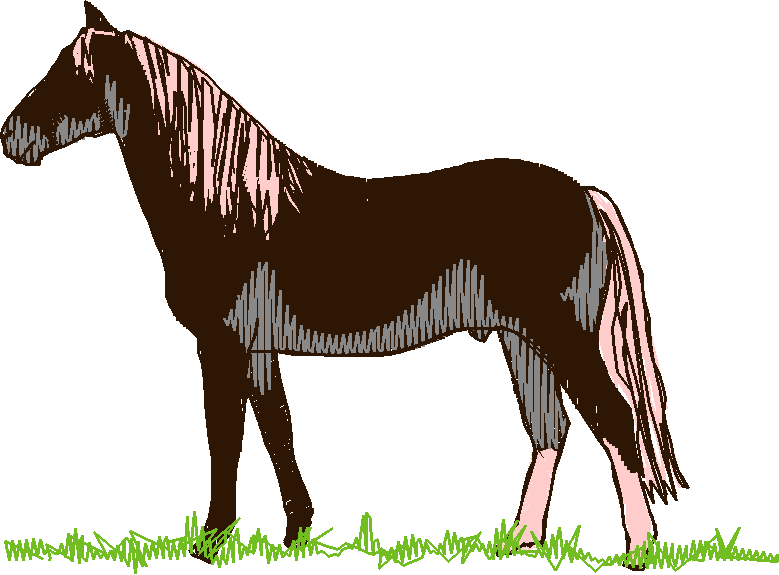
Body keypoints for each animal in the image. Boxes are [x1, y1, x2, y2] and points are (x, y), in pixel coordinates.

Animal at [3, 2, 689, 567]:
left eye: (74, 73)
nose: (11, 135)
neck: (227, 203)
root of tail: (584, 195)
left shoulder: (222, 346)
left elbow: (225, 437)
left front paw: (214, 541)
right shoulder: (257, 346)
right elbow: (276, 430)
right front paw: (295, 535)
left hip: (563, 335)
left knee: (615, 424)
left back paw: (636, 548)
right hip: (523, 341)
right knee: (551, 432)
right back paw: (518, 541)